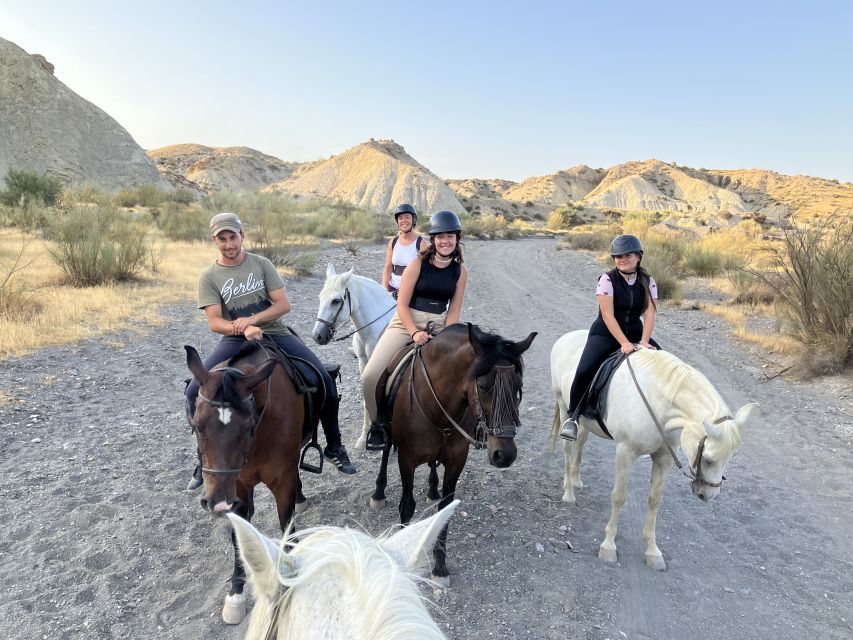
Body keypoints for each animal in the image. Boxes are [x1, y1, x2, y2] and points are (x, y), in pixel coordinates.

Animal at [185, 342, 312, 628]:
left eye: (246, 426)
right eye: (197, 425)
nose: (218, 502)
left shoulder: (283, 482)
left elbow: (286, 526)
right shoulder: (239, 487)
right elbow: (238, 536)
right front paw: (236, 594)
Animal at [312, 262, 394, 448]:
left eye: (336, 301)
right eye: (320, 297)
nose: (317, 335)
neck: (375, 330)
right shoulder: (364, 364)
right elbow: (367, 398)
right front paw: (364, 437)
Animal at [370, 324, 536, 584]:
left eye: (518, 387)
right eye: (483, 386)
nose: (505, 454)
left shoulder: (457, 459)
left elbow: (445, 510)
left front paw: (439, 567)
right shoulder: (406, 459)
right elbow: (407, 505)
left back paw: (432, 489)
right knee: (386, 452)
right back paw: (378, 492)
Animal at [552, 330, 760, 568]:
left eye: (730, 458)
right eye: (708, 459)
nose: (710, 495)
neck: (658, 403)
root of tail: (567, 337)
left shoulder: (663, 457)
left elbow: (655, 499)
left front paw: (653, 552)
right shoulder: (625, 452)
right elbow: (619, 496)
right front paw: (608, 546)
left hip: (585, 421)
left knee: (580, 444)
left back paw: (576, 480)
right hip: (564, 407)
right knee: (568, 450)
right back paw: (569, 492)